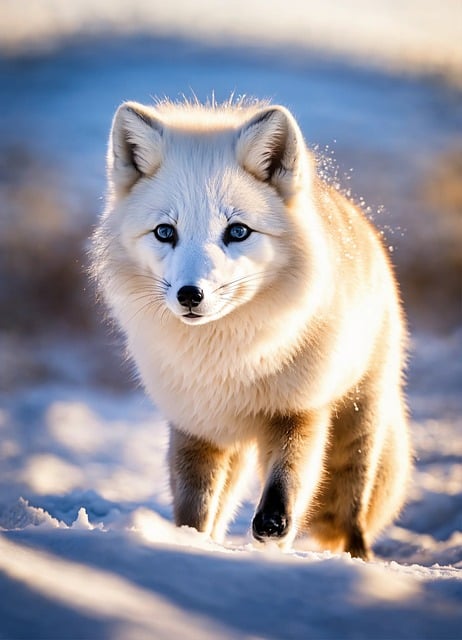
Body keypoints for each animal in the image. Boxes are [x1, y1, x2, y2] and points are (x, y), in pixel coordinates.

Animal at [93, 97, 412, 556]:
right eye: (165, 232)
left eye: (238, 231)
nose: (190, 295)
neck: (229, 365)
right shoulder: (195, 427)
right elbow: (193, 506)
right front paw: (186, 542)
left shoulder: (299, 412)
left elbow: (289, 481)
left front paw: (273, 528)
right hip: (234, 445)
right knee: (223, 504)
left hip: (358, 421)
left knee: (352, 512)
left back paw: (358, 557)